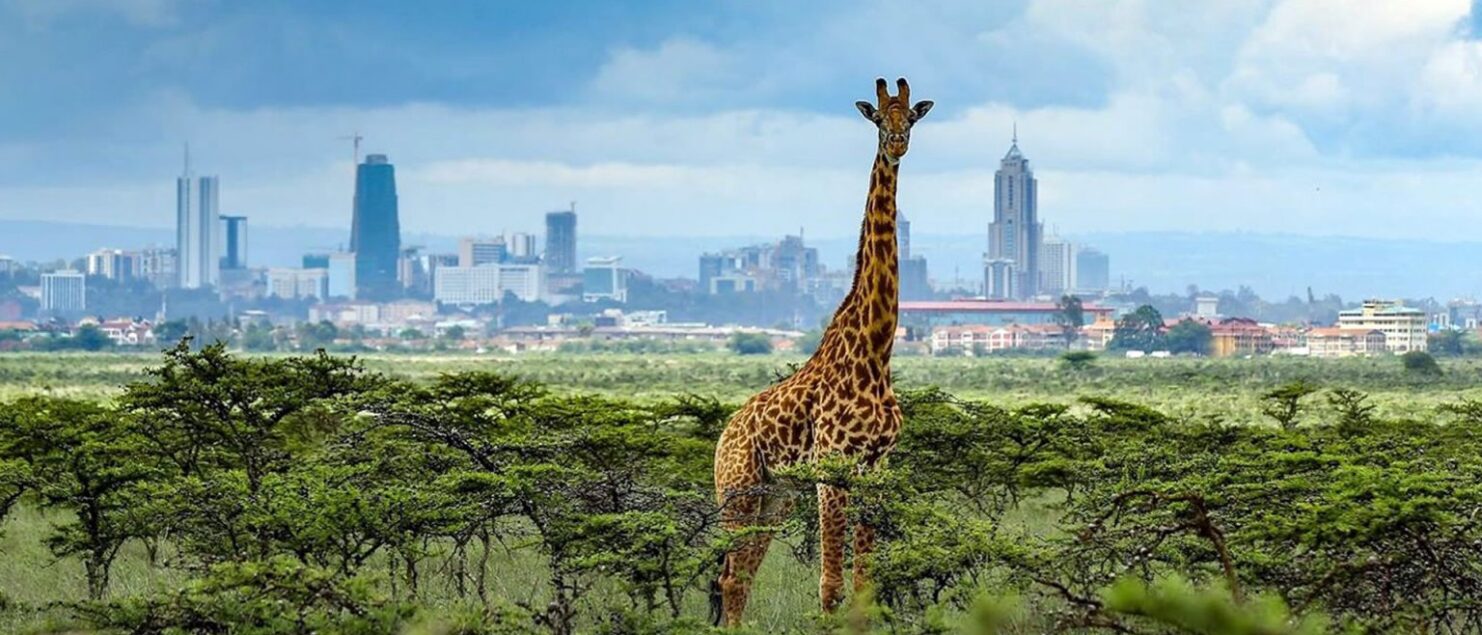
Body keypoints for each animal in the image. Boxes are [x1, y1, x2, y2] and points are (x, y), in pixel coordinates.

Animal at [711, 75, 930, 626]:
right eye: (879, 118)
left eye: (911, 117)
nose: (898, 144)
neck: (875, 351)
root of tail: (722, 437)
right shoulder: (832, 467)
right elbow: (830, 587)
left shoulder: (875, 468)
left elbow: (863, 586)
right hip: (738, 490)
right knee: (729, 577)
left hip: (776, 495)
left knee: (742, 577)